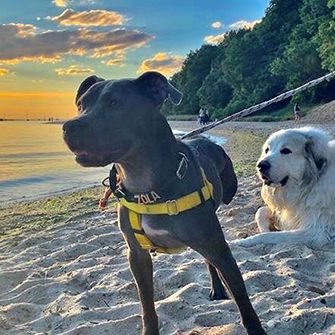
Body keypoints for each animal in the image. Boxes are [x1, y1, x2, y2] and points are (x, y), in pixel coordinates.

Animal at [63, 71, 268, 335]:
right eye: (81, 104)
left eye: (115, 103)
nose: (68, 126)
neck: (147, 188)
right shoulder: (137, 256)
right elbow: (147, 305)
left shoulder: (219, 249)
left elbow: (243, 301)